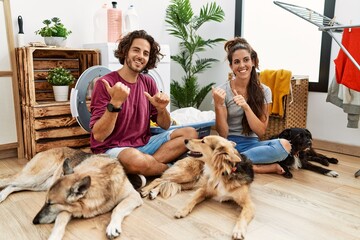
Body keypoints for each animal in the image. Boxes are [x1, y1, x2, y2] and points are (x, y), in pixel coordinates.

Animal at [0, 147, 143, 239]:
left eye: (50, 204)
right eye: (46, 202)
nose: (34, 221)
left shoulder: (134, 196)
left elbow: (118, 209)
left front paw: (113, 226)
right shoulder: (65, 210)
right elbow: (60, 223)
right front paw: (54, 237)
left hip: (40, 184)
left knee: (13, 186)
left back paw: (2, 195)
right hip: (33, 178)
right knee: (7, 180)